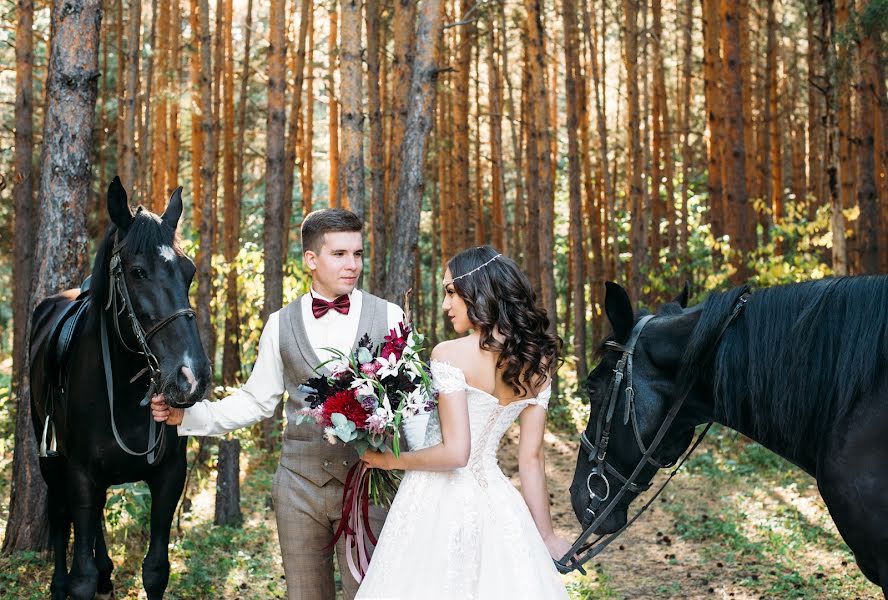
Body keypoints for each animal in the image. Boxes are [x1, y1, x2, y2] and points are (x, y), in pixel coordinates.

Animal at [29, 178, 212, 600]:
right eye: (138, 271)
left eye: (189, 271)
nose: (191, 376)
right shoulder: (80, 474)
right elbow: (81, 577)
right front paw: (80, 579)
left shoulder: (169, 476)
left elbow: (156, 570)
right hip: (50, 459)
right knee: (61, 518)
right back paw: (59, 583)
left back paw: (107, 572)